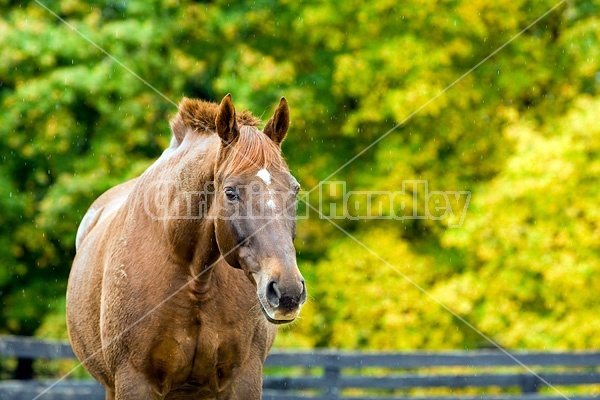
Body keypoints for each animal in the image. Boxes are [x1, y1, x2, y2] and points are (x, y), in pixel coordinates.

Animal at [68, 94, 308, 400]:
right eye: (230, 192)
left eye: (294, 190)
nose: (287, 291)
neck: (194, 277)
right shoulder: (133, 381)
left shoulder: (244, 379)